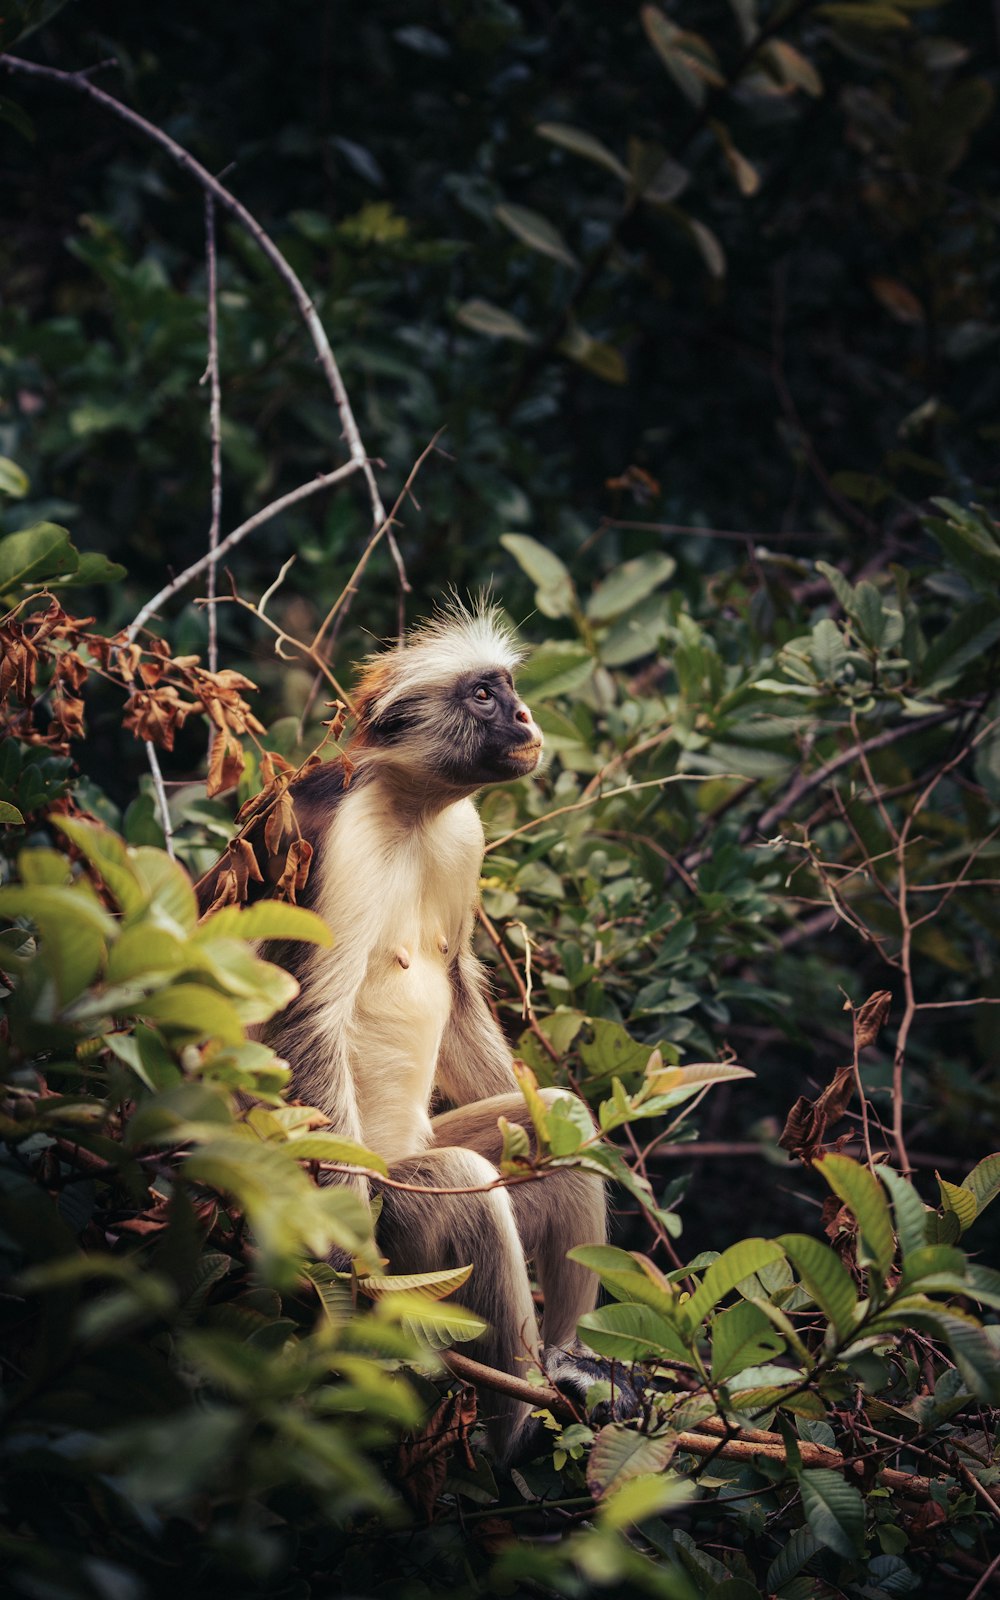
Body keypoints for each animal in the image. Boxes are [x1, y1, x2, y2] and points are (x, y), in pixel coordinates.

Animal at [203, 601, 604, 1465]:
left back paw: (564, 1362)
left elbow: (453, 986)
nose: (525, 717)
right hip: (402, 1226)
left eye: (507, 687)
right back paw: (514, 1431)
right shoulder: (336, 839)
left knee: (555, 1122)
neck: (413, 810)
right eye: (484, 696)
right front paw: (342, 1260)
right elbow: (307, 1016)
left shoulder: (464, 835)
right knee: (456, 1179)